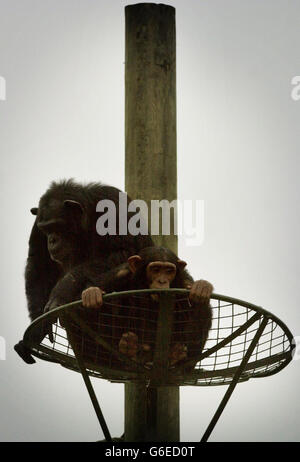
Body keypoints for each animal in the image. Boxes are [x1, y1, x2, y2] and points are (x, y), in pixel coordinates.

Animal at [81, 247, 213, 370]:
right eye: (155, 270)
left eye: (169, 271)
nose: (162, 281)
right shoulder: (118, 275)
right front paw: (92, 293)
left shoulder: (184, 282)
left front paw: (202, 287)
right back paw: (128, 348)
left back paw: (174, 357)